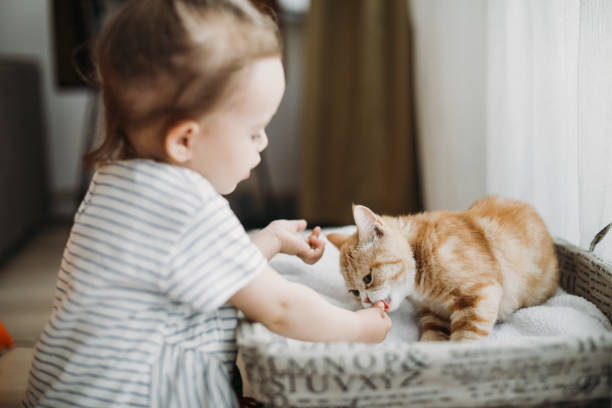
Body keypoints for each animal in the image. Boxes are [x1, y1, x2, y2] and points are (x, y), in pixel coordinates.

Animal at [330, 195, 560, 342]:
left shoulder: (479, 296)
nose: (367, 302)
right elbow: (433, 337)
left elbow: (464, 342)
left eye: (368, 278)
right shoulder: (433, 313)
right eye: (354, 292)